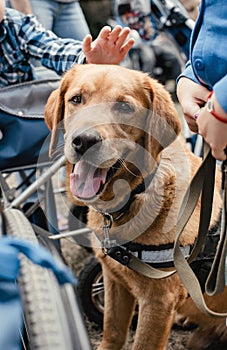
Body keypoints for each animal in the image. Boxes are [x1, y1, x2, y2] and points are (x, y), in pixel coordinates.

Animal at [44, 64, 225, 348]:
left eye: (124, 107)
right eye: (76, 99)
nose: (84, 141)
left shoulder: (157, 303)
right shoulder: (114, 280)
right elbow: (113, 331)